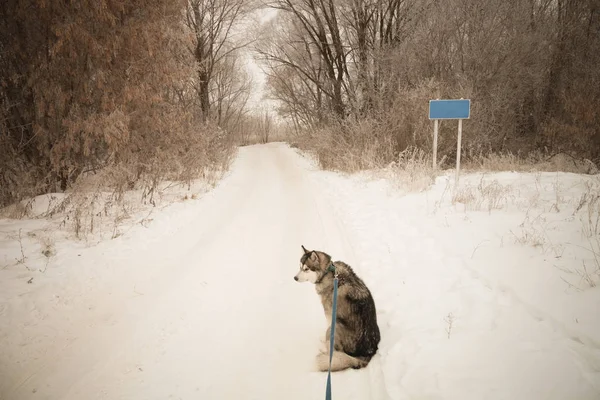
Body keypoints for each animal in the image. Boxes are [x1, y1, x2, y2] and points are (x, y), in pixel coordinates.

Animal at [294, 245, 382, 374]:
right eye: (300, 267)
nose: (294, 278)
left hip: (336, 326)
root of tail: (368, 352)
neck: (328, 272)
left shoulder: (329, 313)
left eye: (306, 269)